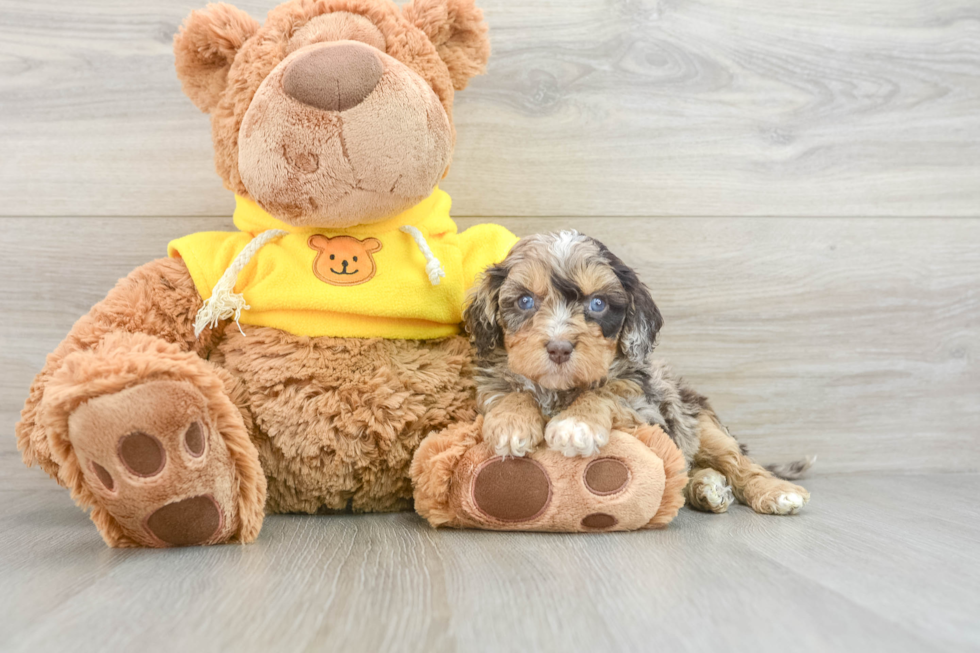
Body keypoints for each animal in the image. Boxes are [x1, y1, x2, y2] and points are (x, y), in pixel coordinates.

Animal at [468, 230, 812, 516]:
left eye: (598, 304)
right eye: (525, 300)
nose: (559, 348)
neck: (560, 391)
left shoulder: (645, 406)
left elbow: (606, 392)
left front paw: (576, 425)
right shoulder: (489, 385)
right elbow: (511, 392)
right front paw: (511, 423)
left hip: (699, 421)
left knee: (738, 462)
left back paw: (775, 492)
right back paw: (708, 488)